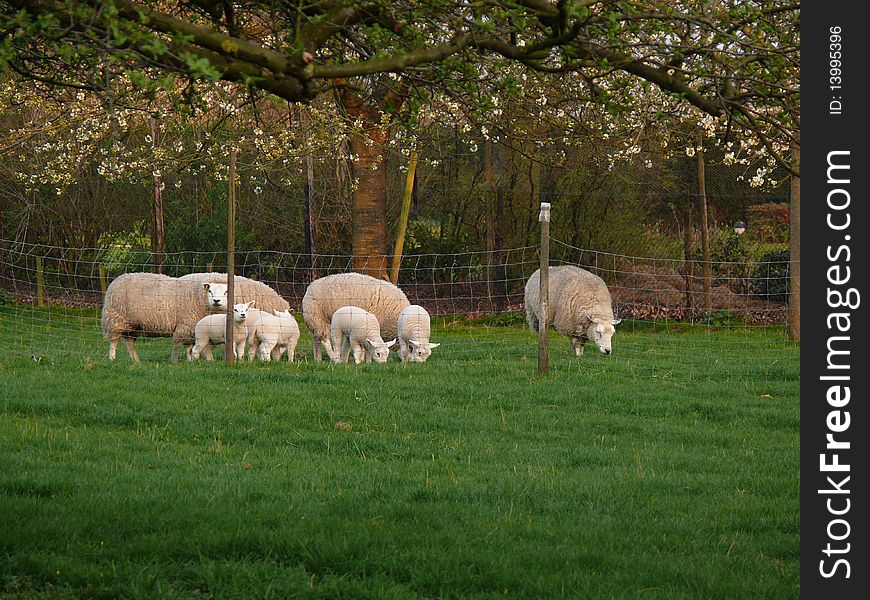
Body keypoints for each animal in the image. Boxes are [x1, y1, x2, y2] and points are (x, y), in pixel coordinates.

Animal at [101, 272, 232, 360]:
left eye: (226, 292)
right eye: (210, 291)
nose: (216, 301)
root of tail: (118, 279)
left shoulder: (190, 328)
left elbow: (188, 346)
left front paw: (189, 361)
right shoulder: (186, 325)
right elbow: (185, 346)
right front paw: (179, 360)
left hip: (132, 326)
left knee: (129, 343)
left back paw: (136, 360)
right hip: (115, 319)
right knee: (113, 341)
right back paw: (112, 358)